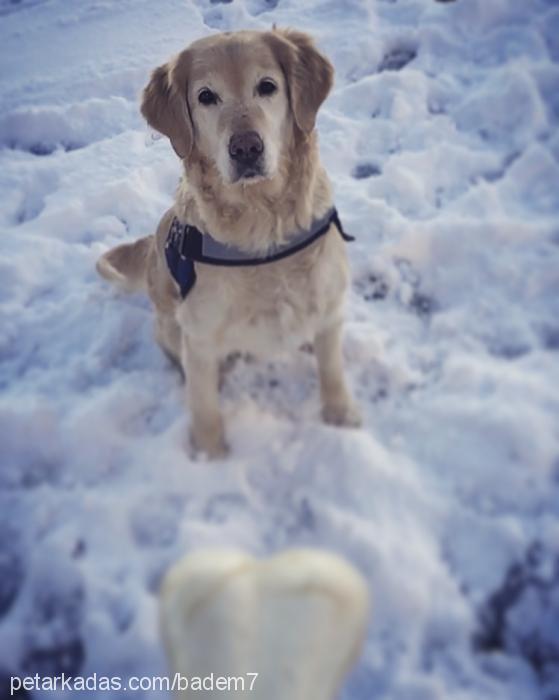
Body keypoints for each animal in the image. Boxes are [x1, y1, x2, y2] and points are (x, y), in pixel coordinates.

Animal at [98, 30, 360, 460]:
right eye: (206, 96)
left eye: (267, 86)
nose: (246, 148)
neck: (263, 232)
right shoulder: (201, 337)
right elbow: (204, 406)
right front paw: (210, 458)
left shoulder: (329, 300)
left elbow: (332, 368)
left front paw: (341, 416)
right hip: (171, 325)